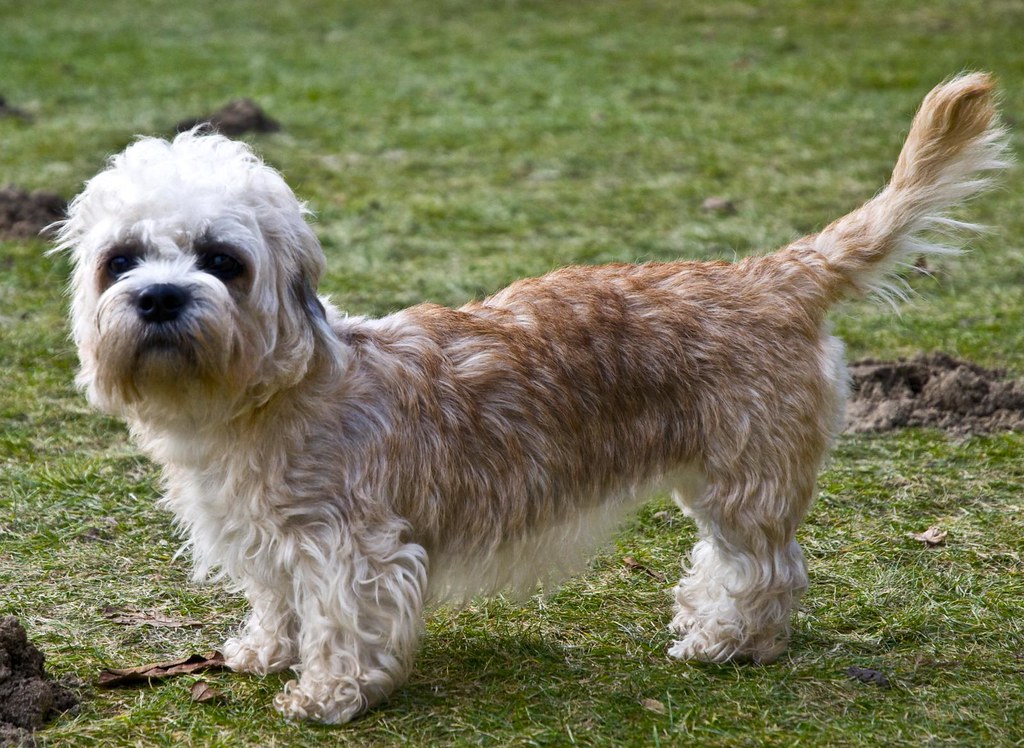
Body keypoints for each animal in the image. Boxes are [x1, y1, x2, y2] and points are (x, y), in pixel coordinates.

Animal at [56, 72, 1007, 721]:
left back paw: (728, 642)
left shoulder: (351, 547)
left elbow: (342, 620)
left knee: (766, 569)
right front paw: (264, 652)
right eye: (121, 259)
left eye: (222, 260)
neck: (263, 394)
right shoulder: (266, 537)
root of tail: (772, 273)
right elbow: (277, 599)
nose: (160, 298)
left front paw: (327, 695)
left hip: (744, 482)